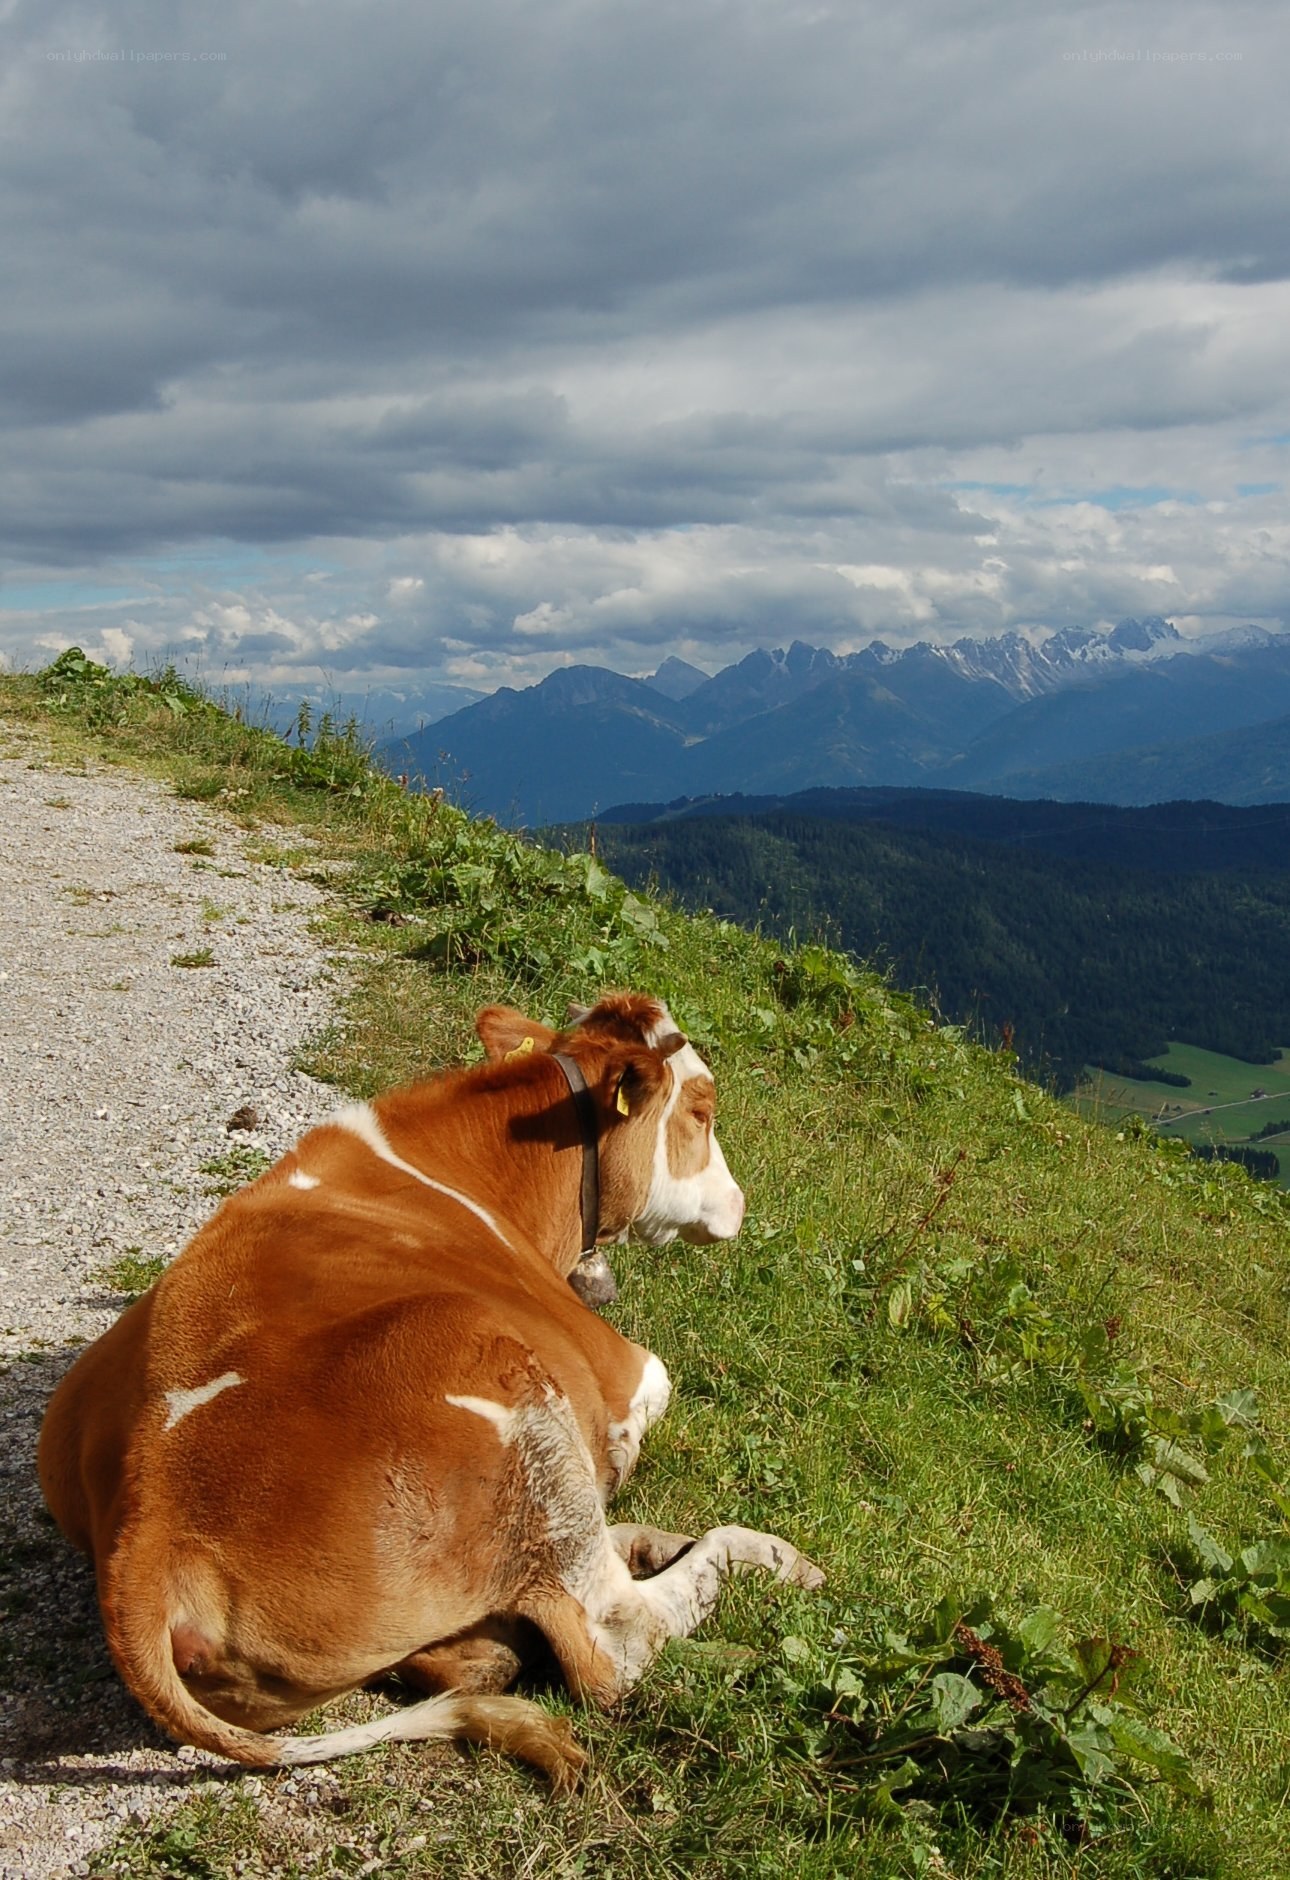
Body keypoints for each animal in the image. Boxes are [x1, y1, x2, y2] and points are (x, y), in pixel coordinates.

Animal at [38, 992, 822, 1788]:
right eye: (701, 1109)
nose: (740, 1202)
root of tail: (146, 1529)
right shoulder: (626, 1372)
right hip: (491, 1366)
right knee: (612, 1640)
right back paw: (765, 1558)